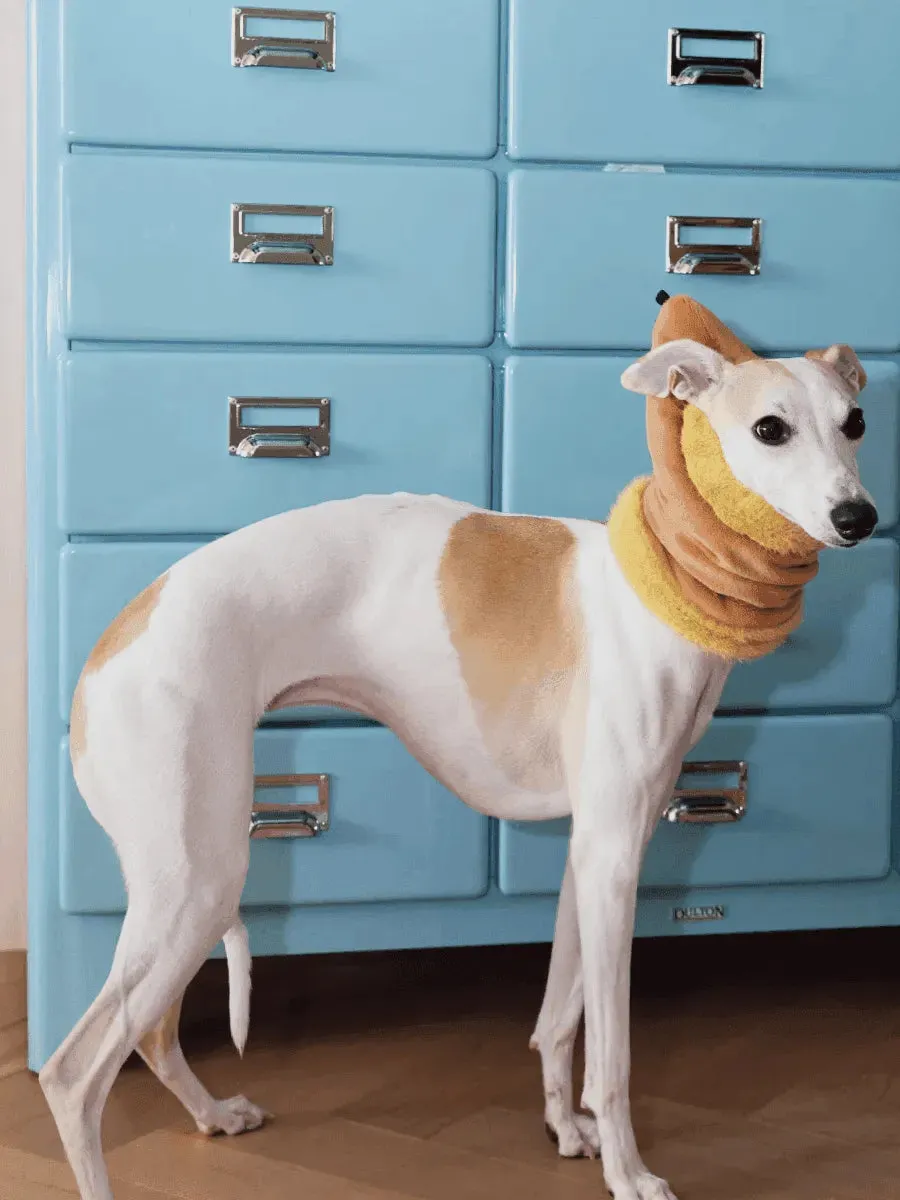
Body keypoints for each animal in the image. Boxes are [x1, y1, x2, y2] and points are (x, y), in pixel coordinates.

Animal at [38, 292, 878, 1200]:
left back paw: (215, 1113)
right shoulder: (616, 858)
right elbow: (612, 1055)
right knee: (76, 1072)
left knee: (151, 1033)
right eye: (769, 429)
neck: (668, 582)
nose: (859, 518)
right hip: (199, 875)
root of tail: (112, 641)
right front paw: (628, 1172)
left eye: (857, 420)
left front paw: (565, 1129)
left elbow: (557, 1016)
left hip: (188, 881)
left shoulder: (593, 850)